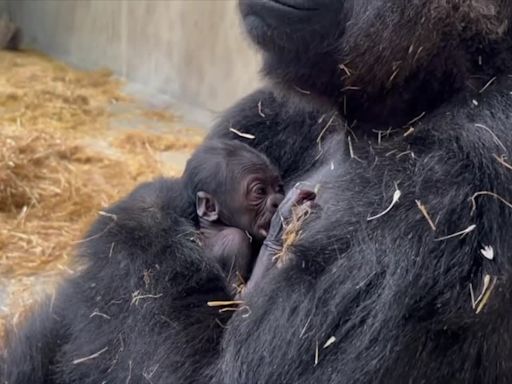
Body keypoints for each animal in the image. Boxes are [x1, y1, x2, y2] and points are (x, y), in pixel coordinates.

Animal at [181, 140, 284, 292]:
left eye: (278, 188)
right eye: (260, 191)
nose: (278, 200)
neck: (215, 226)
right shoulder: (235, 241)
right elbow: (237, 293)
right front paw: (279, 229)